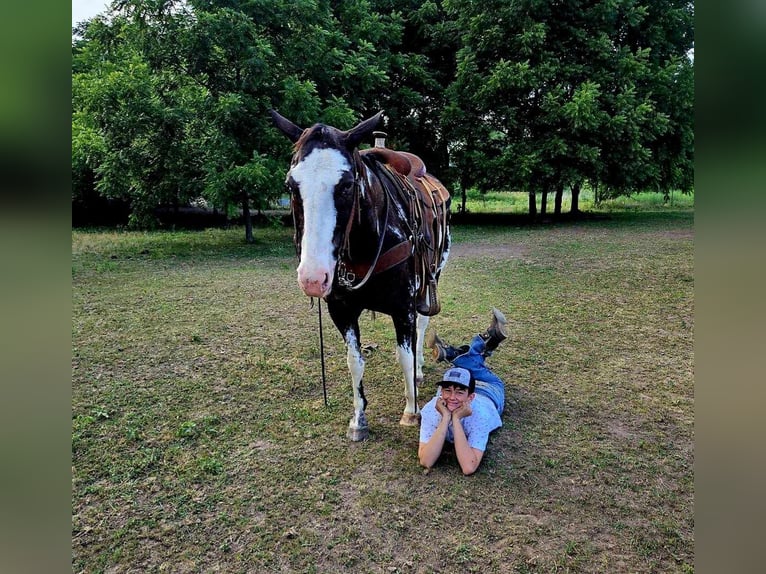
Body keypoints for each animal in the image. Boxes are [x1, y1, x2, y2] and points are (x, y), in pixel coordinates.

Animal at [272, 110, 450, 444]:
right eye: (291, 184)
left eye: (346, 185)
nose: (312, 278)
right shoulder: (341, 310)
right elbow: (354, 362)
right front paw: (358, 419)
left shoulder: (403, 308)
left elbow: (405, 356)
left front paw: (411, 410)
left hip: (432, 277)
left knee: (422, 325)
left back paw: (420, 369)